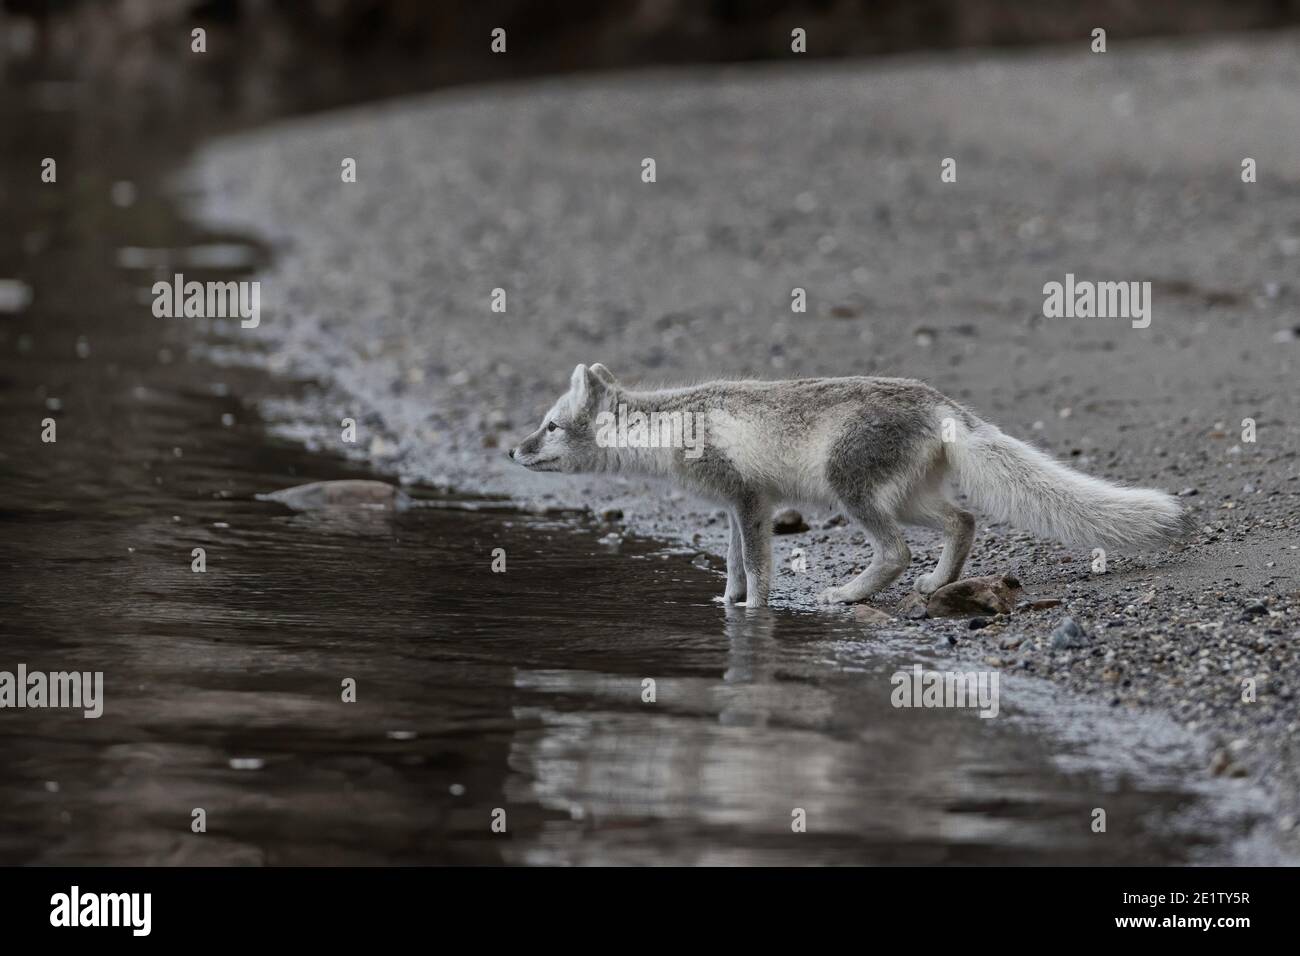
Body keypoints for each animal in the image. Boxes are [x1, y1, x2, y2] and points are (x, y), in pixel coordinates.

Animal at [506, 361, 1190, 608]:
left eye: (549, 426)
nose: (513, 450)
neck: (674, 424)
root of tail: (942, 403)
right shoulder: (736, 505)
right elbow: (733, 561)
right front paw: (726, 604)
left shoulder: (750, 500)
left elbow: (758, 565)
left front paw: (753, 612)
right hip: (909, 497)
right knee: (963, 520)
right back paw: (937, 585)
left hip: (851, 491)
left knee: (897, 550)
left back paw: (848, 594)